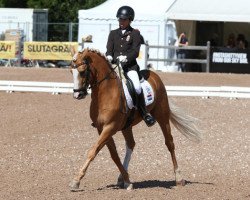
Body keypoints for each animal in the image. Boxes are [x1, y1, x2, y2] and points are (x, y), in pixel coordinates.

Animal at [69, 48, 202, 191]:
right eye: (71, 71)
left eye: (82, 71)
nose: (78, 94)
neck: (106, 93)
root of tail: (154, 75)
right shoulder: (102, 129)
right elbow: (114, 155)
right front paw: (127, 180)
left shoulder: (110, 127)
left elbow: (92, 151)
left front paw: (76, 181)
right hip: (127, 126)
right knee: (131, 144)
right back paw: (122, 177)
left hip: (162, 116)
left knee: (170, 143)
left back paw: (179, 178)